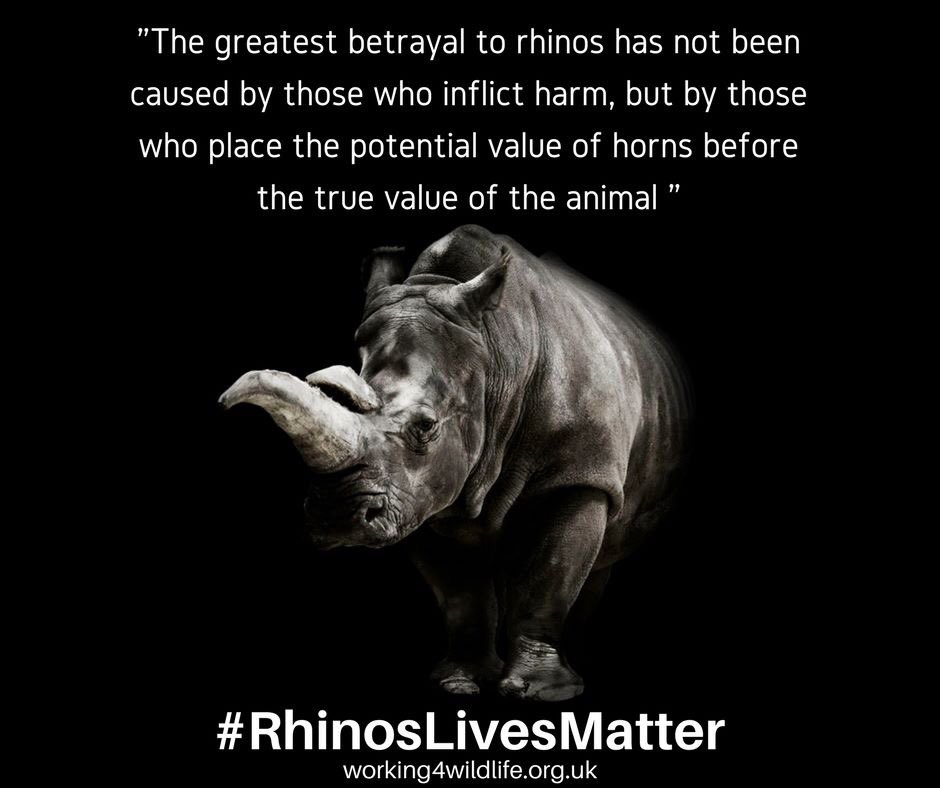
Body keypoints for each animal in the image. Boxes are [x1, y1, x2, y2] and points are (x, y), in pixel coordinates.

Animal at [220, 225, 690, 700]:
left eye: (426, 426)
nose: (338, 517)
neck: (497, 355)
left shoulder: (580, 475)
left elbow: (548, 579)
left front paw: (540, 692)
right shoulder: (422, 494)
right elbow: (461, 596)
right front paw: (460, 683)